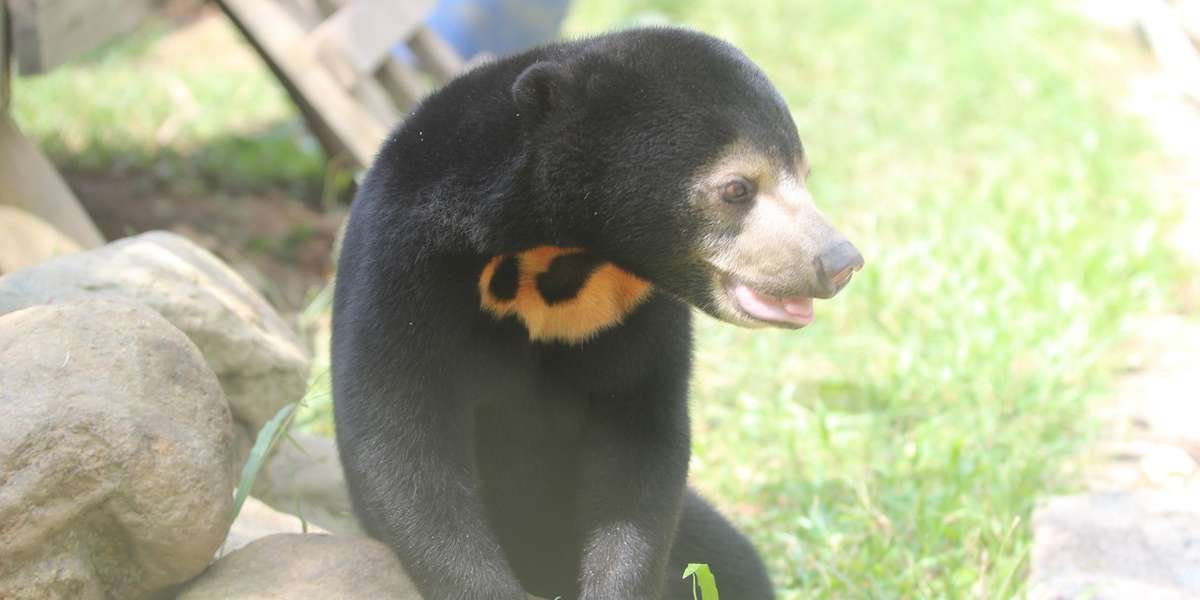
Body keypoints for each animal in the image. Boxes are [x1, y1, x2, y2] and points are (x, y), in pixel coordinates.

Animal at [332, 27, 863, 600]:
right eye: (737, 188)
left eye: (804, 173)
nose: (841, 262)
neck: (557, 254)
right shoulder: (405, 268)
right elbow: (403, 440)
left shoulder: (634, 308)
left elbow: (641, 435)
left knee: (735, 561)